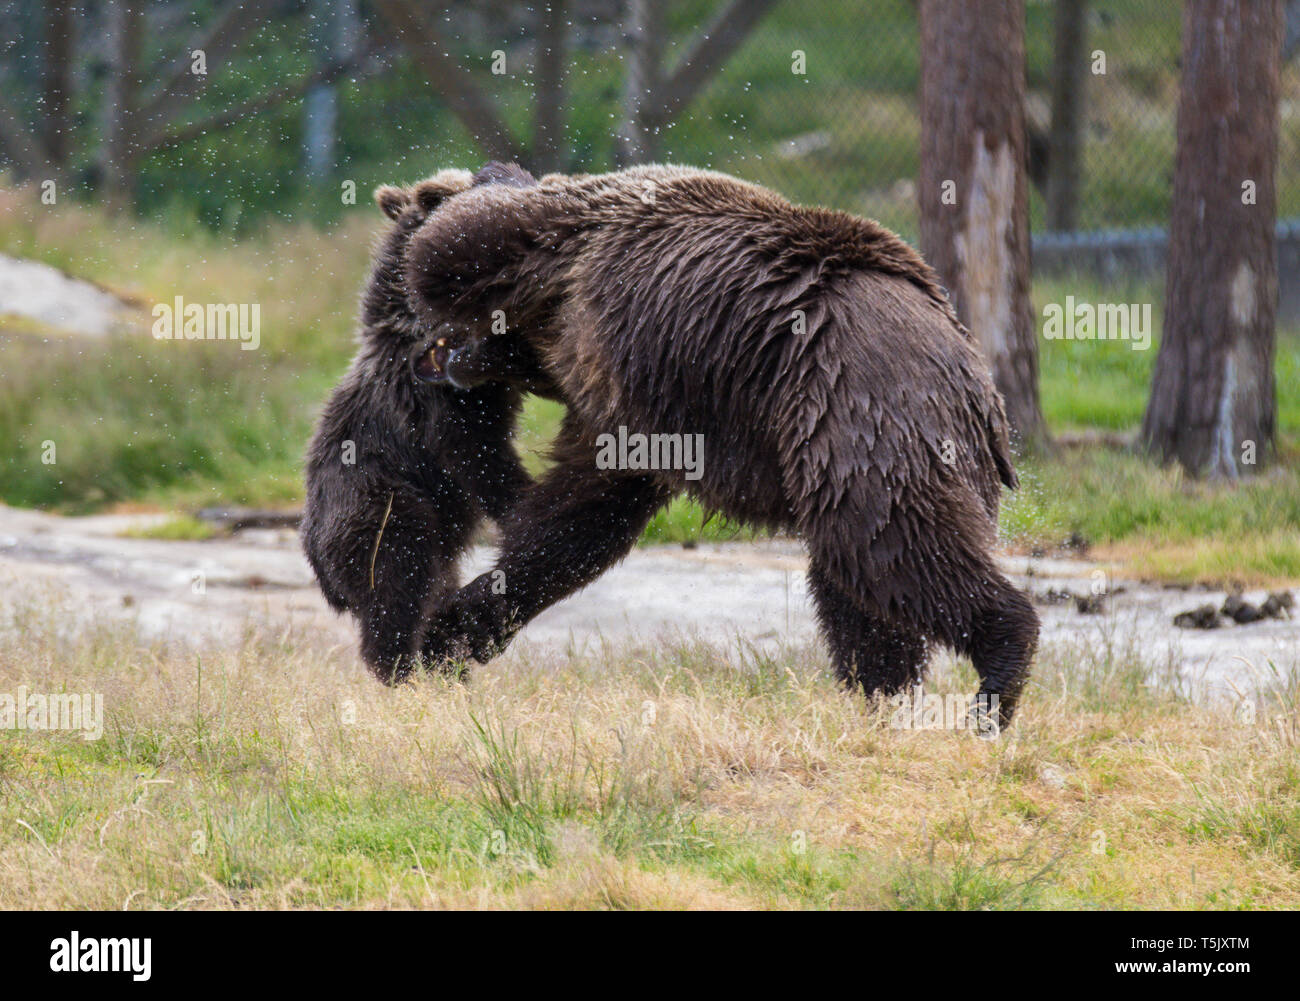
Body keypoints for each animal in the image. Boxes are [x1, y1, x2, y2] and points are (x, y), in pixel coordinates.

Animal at [300, 166, 558, 683]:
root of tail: (316, 560)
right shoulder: (439, 399)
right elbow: (478, 454)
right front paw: (523, 498)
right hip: (385, 508)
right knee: (398, 586)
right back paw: (405, 669)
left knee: (432, 592)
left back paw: (445, 665)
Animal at [403, 163, 1040, 729]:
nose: (436, 359)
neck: (555, 323)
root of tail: (976, 380)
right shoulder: (629, 421)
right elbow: (575, 526)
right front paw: (446, 636)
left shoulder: (588, 261)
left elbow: (465, 236)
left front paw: (452, 198)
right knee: (856, 586)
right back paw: (884, 699)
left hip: (859, 413)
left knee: (894, 545)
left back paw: (999, 667)